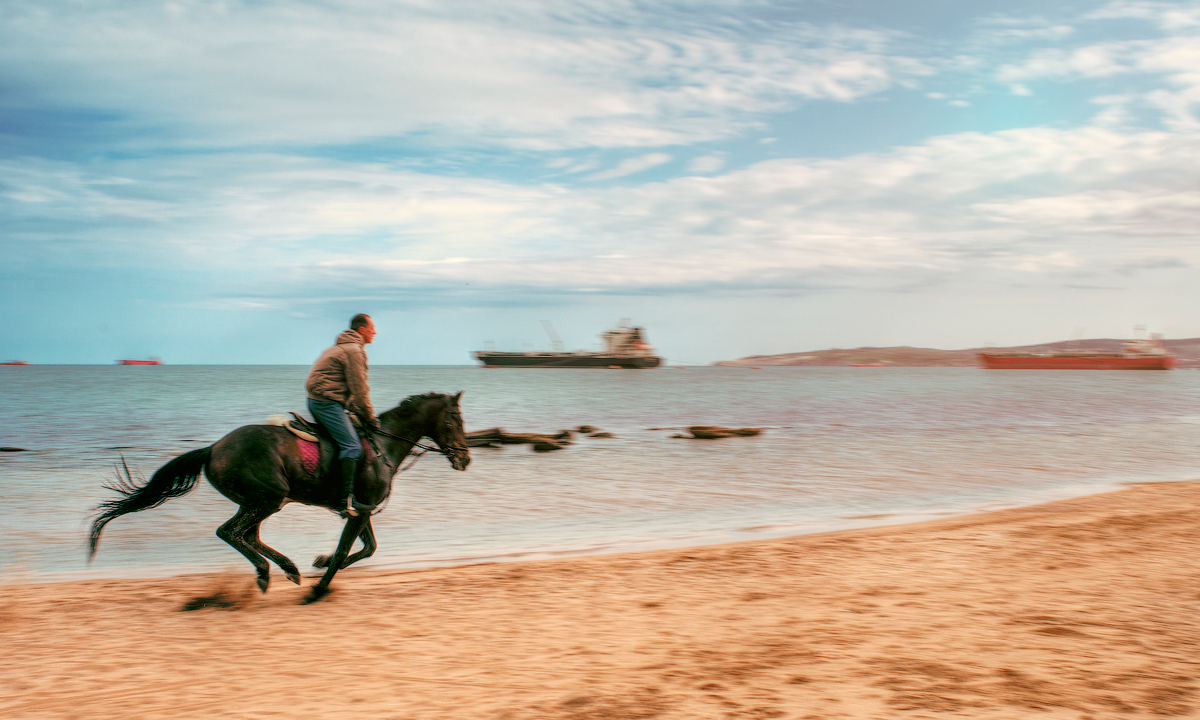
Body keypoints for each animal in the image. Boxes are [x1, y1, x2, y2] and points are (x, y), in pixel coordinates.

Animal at [84, 391, 465, 604]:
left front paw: (321, 563)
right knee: (231, 532)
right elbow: (348, 551)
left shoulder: (362, 511)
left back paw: (287, 569)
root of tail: (213, 449)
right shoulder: (360, 511)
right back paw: (269, 572)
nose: (465, 458)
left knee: (247, 535)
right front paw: (318, 590)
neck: (383, 445)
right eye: (455, 420)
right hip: (268, 498)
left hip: (258, 501)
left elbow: (365, 549)